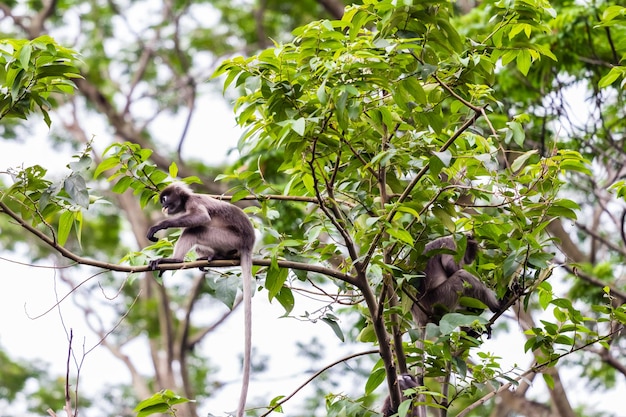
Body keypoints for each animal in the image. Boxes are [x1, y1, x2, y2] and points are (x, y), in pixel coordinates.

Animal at [145, 183, 255, 417]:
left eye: (165, 199)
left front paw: (160, 226)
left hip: (226, 238)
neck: (187, 200)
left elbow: (202, 218)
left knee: (194, 229)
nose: (164, 206)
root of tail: (248, 243)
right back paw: (212, 257)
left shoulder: (195, 203)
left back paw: (174, 260)